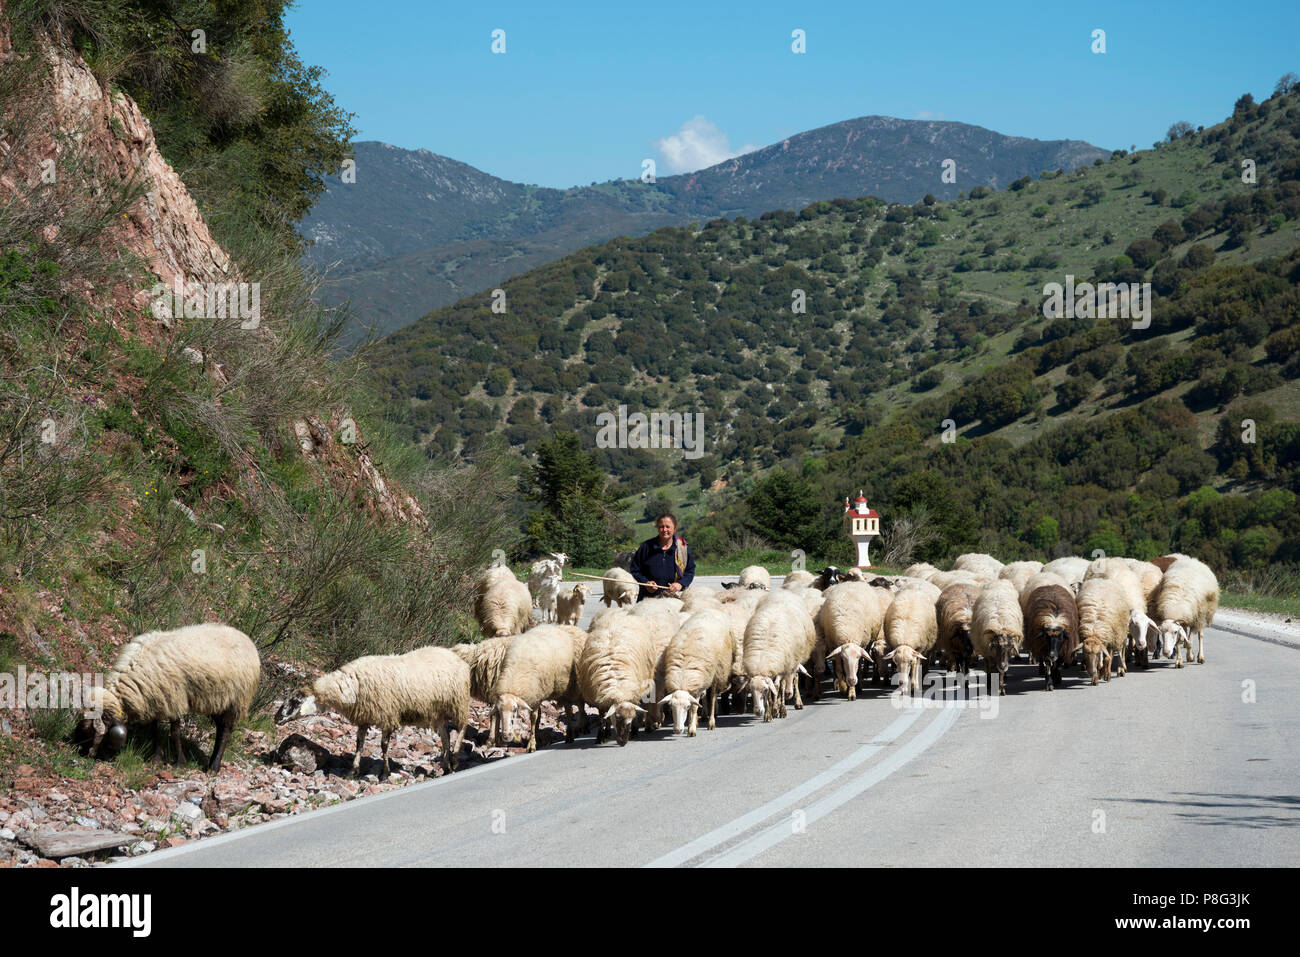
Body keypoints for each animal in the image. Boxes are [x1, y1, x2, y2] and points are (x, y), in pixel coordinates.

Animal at [78, 624, 258, 774]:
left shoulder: (174, 698)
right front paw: (157, 759)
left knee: (225, 732)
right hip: (218, 702)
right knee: (221, 729)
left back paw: (214, 767)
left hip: (235, 701)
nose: (84, 754)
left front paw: (179, 763)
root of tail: (247, 640)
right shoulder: (156, 698)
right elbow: (155, 730)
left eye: (91, 731)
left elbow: (175, 732)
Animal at [276, 642, 470, 780]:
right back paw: (446, 766)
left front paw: (385, 773)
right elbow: (359, 743)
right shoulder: (364, 717)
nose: (276, 718)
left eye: (295, 701)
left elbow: (383, 746)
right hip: (438, 712)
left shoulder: (387, 716)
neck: (351, 686)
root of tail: (456, 656)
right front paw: (353, 771)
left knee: (462, 728)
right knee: (445, 736)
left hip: (458, 703)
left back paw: (455, 758)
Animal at [582, 613, 660, 748]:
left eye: (632, 718)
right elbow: (602, 717)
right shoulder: (600, 697)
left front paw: (634, 731)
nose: (623, 742)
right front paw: (601, 737)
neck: (617, 685)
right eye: (617, 717)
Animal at [665, 608, 738, 738]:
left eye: (686, 706)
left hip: (716, 673)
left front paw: (691, 729)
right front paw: (692, 723)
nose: (677, 730)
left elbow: (694, 708)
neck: (683, 674)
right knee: (705, 697)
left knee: (712, 698)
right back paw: (703, 716)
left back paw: (711, 723)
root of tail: (711, 609)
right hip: (705, 676)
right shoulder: (697, 684)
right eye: (671, 706)